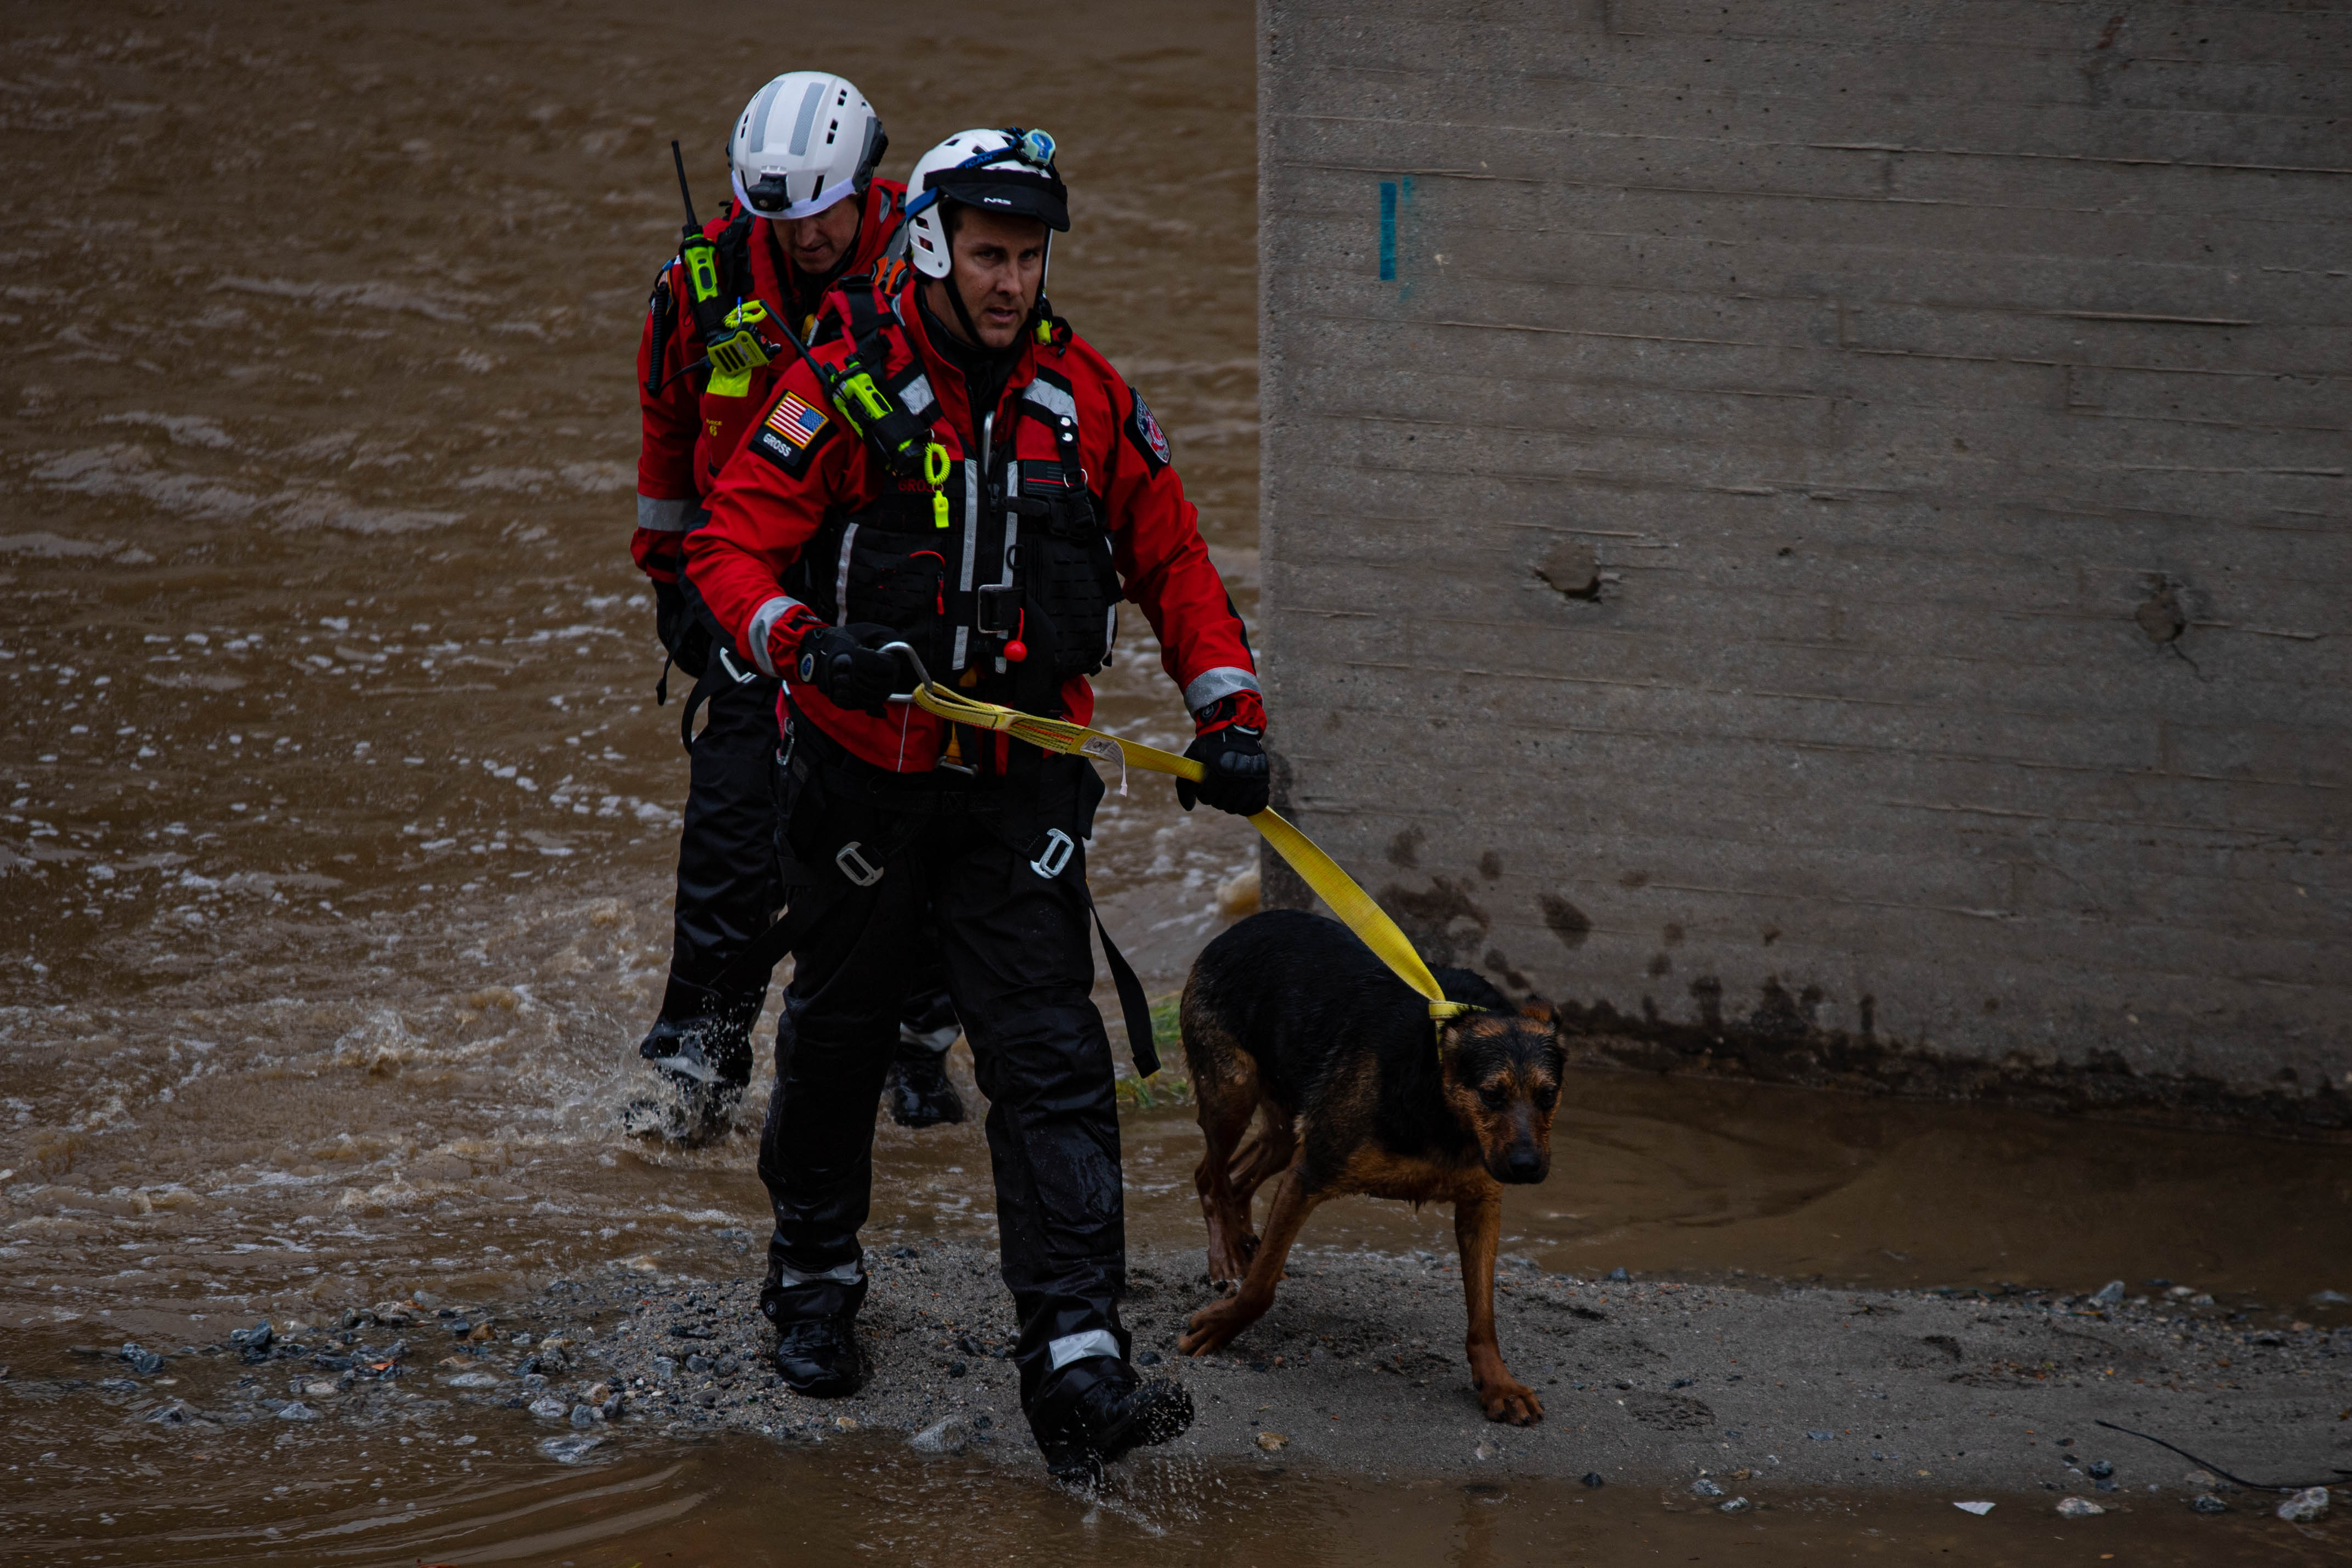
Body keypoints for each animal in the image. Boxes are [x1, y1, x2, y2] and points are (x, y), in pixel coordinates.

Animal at [1171, 907, 1562, 1419]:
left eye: (1548, 1095)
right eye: (1491, 1095)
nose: (1526, 1166)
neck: (1439, 1096)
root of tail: (1243, 924)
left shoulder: (1480, 1205)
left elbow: (1483, 1313)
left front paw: (1498, 1382)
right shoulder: (1309, 1172)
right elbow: (1258, 1291)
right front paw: (1222, 1326)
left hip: (1286, 1124)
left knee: (1238, 1178)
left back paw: (1243, 1244)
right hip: (1232, 1090)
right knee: (1209, 1176)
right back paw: (1225, 1258)